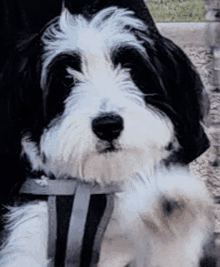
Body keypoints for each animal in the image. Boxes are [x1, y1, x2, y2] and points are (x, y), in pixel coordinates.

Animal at [0, 0, 215, 266]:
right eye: (66, 79)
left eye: (131, 69)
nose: (108, 125)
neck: (92, 192)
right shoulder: (26, 237)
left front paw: (170, 204)